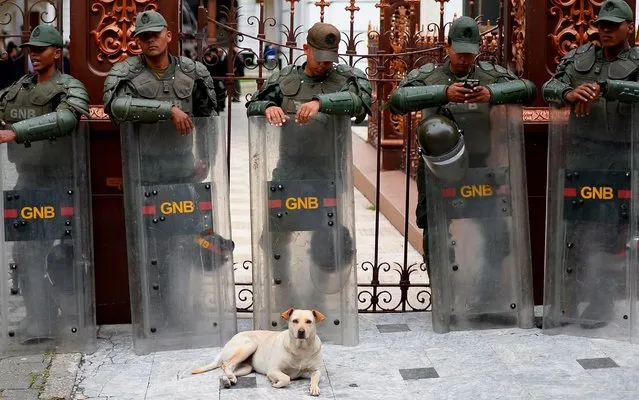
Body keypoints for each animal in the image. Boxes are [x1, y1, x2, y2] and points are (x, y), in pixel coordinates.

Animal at [191, 308, 324, 396]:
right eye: (295, 321)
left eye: (309, 321)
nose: (301, 331)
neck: (300, 348)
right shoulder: (273, 370)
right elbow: (286, 378)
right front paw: (276, 383)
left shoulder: (316, 370)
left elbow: (315, 377)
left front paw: (314, 388)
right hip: (249, 345)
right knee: (226, 365)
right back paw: (229, 378)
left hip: (246, 368)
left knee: (227, 371)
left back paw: (228, 380)